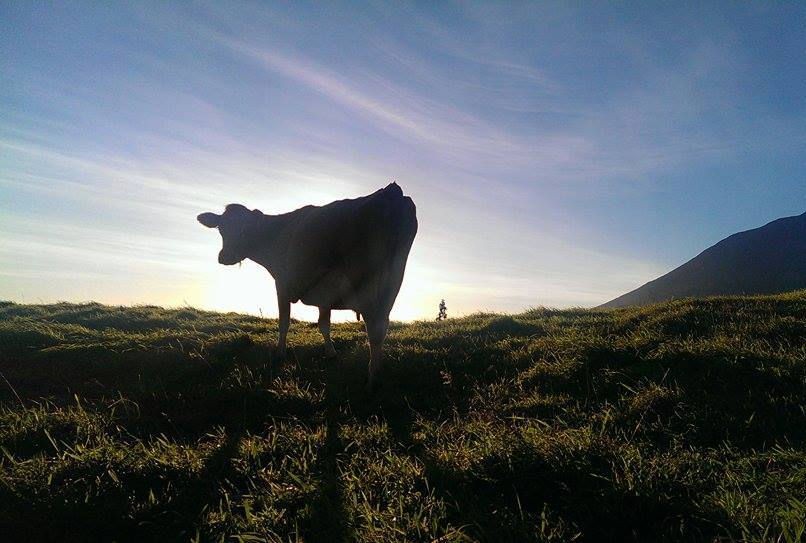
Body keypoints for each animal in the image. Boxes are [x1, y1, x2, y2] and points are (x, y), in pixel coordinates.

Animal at [199, 183, 420, 392]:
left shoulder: (282, 282)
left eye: (247, 229)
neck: (275, 235)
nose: (225, 257)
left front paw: (280, 354)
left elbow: (284, 321)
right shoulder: (326, 295)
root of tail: (391, 192)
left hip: (368, 284)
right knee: (382, 328)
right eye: (221, 229)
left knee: (374, 329)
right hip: (393, 280)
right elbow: (323, 324)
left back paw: (372, 380)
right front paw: (330, 353)